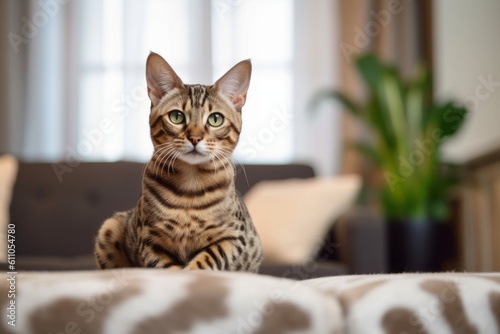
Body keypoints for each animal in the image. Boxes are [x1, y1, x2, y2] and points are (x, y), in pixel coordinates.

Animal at [95, 51, 264, 272]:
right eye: (176, 116)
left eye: (215, 119)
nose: (195, 137)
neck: (189, 189)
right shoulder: (149, 240)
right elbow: (169, 270)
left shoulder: (233, 237)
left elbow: (207, 259)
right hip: (109, 228)